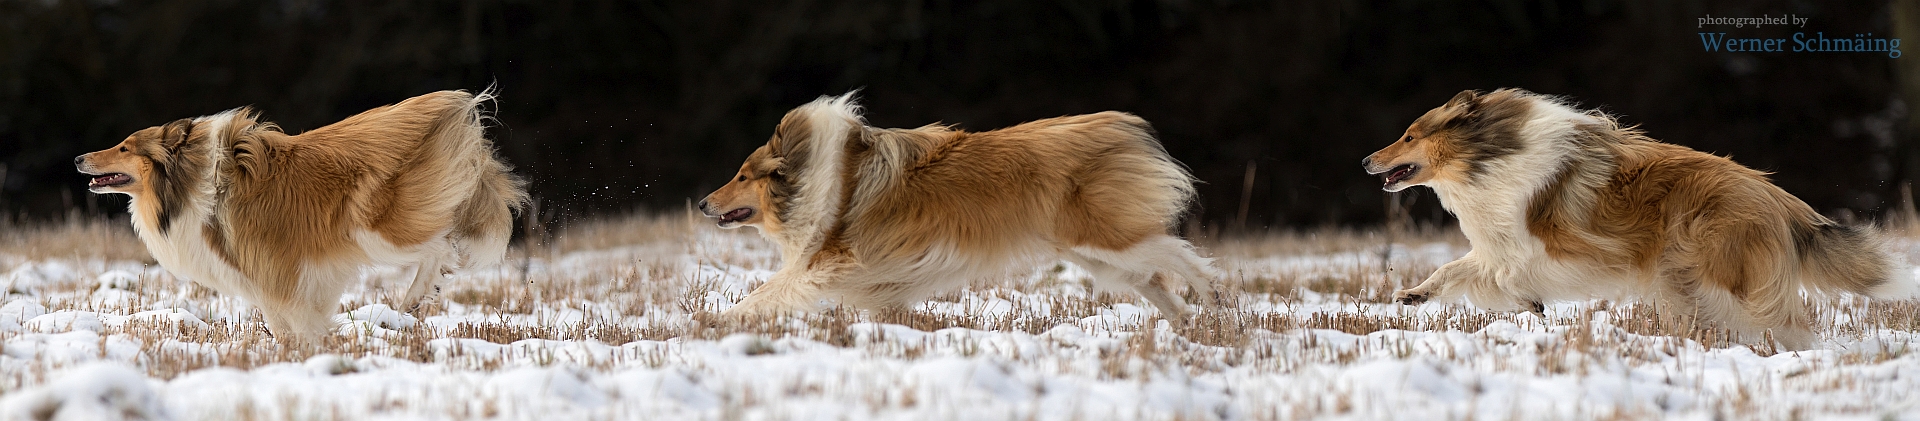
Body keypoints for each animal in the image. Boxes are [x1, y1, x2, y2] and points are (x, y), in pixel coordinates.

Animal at [77, 89, 526, 342]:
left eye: (124, 147)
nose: (79, 158)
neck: (187, 182)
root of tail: (445, 105)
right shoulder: (267, 274)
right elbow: (284, 320)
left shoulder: (276, 268)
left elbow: (292, 319)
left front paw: (309, 351)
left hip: (376, 227)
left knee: (440, 246)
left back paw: (415, 296)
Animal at [702, 92, 1213, 322]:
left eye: (742, 176)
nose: (704, 203)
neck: (813, 177)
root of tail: (1117, 125)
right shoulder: (877, 280)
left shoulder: (828, 260)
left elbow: (768, 290)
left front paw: (713, 322)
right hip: (1095, 255)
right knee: (1155, 277)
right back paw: (1188, 326)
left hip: (1101, 238)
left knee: (1185, 256)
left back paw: (1213, 301)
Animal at [1359, 88, 1912, 347]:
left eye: (1410, 135)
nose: (1365, 161)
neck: (1489, 154)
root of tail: (1779, 196)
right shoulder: (1500, 243)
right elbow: (1455, 268)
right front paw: (1413, 295)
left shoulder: (1548, 247)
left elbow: (1500, 273)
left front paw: (1527, 301)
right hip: (1682, 279)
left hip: (1717, 275)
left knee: (1783, 321)